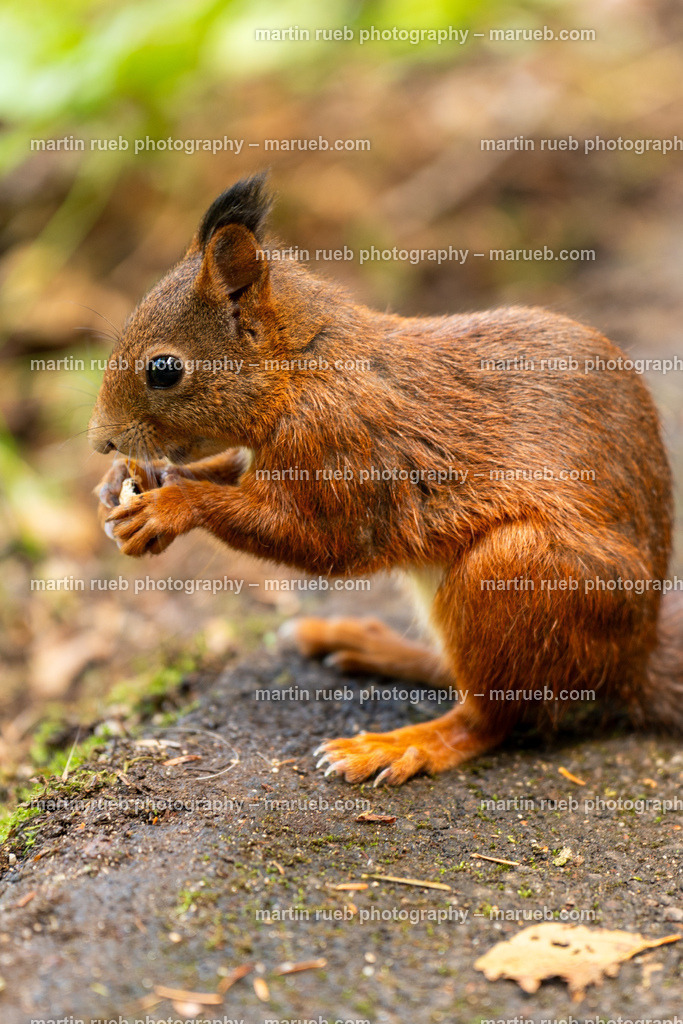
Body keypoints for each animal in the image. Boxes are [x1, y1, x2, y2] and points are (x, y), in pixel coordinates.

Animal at [89, 173, 683, 786]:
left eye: (164, 370)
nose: (101, 440)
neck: (303, 368)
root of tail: (631, 663)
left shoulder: (340, 447)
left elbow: (322, 541)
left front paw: (169, 506)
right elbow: (227, 471)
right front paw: (124, 481)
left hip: (517, 572)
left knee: (492, 717)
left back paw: (402, 744)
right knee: (457, 674)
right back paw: (371, 645)